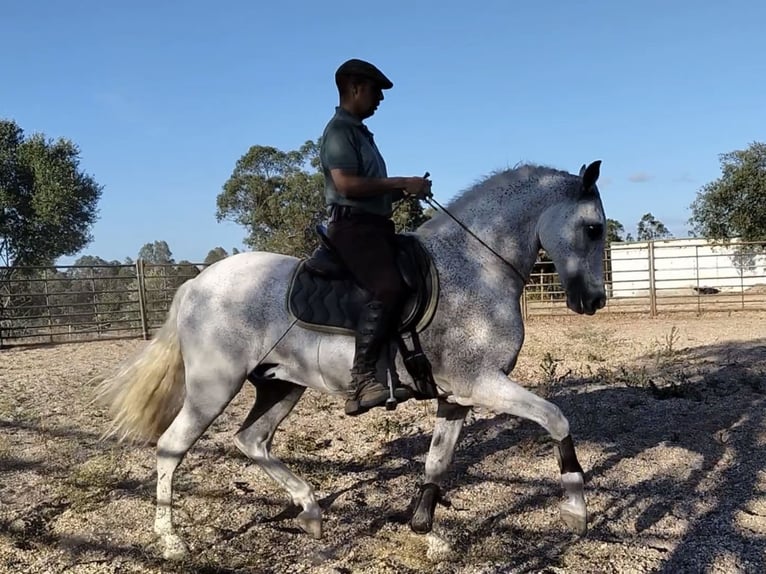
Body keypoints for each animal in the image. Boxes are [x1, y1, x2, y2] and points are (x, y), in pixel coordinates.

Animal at [93, 160, 607, 560]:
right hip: (213, 388)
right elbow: (556, 419)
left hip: (281, 385)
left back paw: (311, 512)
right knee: (171, 447)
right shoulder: (483, 383)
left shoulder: (456, 397)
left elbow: (436, 465)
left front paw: (428, 535)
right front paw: (575, 512)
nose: (594, 301)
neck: (475, 268)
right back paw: (171, 542)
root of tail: (197, 284)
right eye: (593, 228)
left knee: (251, 440)